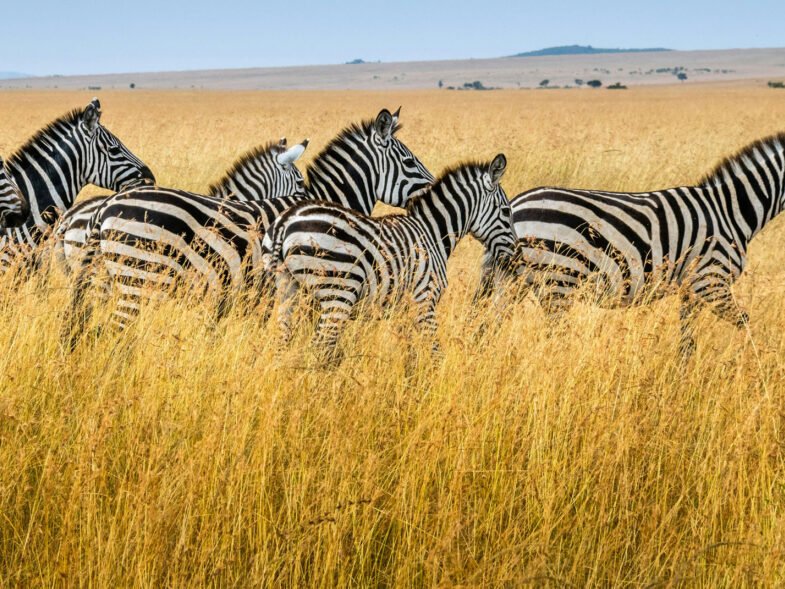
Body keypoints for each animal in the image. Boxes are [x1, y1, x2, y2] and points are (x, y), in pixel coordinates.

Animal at [260, 154, 512, 360]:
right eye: (506, 211)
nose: (513, 255)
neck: (432, 233)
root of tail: (286, 221)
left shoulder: (405, 307)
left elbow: (410, 351)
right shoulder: (425, 298)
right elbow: (434, 351)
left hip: (287, 289)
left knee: (283, 343)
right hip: (338, 293)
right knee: (320, 347)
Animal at [474, 131, 784, 356]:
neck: (731, 210)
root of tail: (515, 205)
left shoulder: (691, 288)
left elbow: (687, 342)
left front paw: (683, 378)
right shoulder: (711, 281)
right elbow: (745, 323)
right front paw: (755, 368)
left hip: (512, 282)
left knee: (488, 327)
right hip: (558, 283)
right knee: (553, 338)